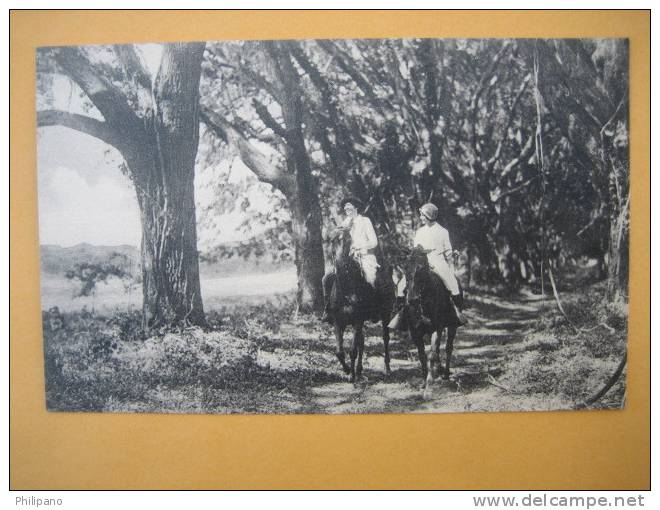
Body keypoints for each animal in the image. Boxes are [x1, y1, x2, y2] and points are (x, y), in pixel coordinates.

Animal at [326, 229, 394, 380]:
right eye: (332, 241)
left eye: (348, 241)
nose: (340, 265)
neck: (346, 289)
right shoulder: (338, 321)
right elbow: (339, 352)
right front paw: (347, 371)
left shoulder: (357, 320)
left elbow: (352, 350)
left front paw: (351, 376)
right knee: (362, 343)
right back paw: (358, 370)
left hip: (385, 314)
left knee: (385, 339)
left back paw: (387, 369)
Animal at [402, 246, 464, 382]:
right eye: (406, 267)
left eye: (421, 268)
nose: (412, 299)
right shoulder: (416, 332)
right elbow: (422, 355)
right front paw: (424, 379)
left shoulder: (437, 328)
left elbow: (432, 353)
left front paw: (430, 379)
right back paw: (439, 369)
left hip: (452, 326)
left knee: (448, 347)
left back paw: (445, 374)